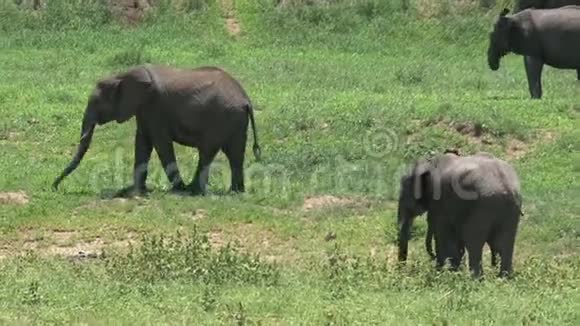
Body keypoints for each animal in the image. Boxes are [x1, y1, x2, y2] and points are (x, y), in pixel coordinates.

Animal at [53, 63, 262, 196]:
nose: (54, 186)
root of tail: (246, 100)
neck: (122, 75)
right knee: (235, 154)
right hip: (235, 119)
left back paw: (192, 191)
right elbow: (142, 142)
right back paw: (235, 192)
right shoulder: (143, 108)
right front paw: (135, 191)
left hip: (221, 118)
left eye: (97, 102)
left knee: (208, 151)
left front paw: (177, 189)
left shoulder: (154, 106)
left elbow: (160, 143)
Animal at [396, 151, 524, 278]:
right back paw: (503, 278)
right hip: (508, 210)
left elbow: (443, 233)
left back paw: (476, 279)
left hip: (484, 207)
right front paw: (453, 272)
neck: (429, 163)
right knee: (503, 243)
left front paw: (442, 273)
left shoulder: (440, 200)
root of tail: (507, 188)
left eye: (405, 193)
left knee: (473, 241)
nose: (402, 271)